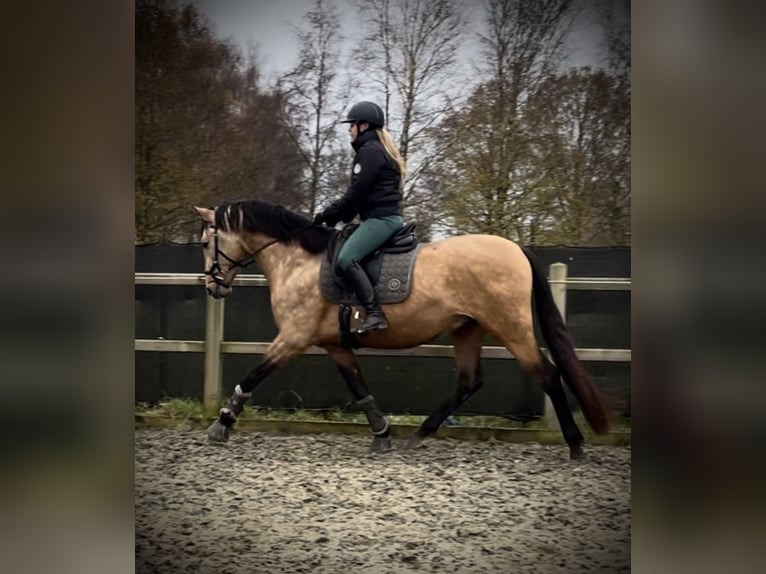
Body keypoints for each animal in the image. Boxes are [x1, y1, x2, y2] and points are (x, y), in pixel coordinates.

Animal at [194, 200, 612, 462]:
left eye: (205, 242)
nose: (213, 287)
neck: (299, 261)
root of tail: (516, 249)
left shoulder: (293, 338)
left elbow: (253, 374)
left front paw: (222, 424)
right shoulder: (334, 345)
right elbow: (359, 388)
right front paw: (382, 434)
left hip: (512, 329)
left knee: (548, 375)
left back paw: (575, 445)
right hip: (468, 329)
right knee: (469, 381)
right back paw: (420, 435)